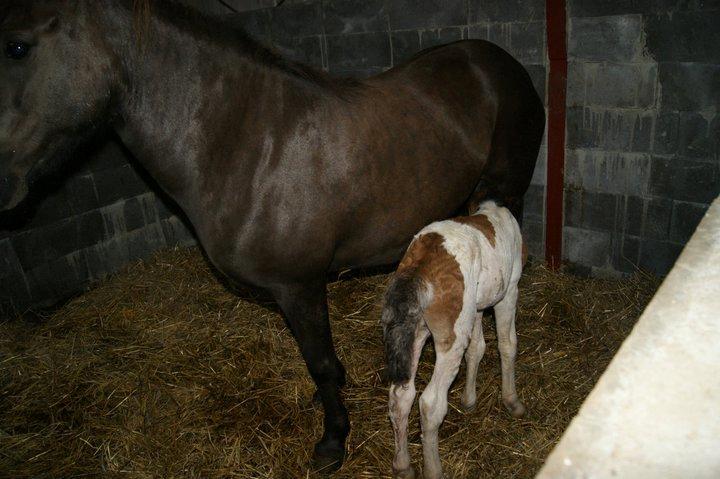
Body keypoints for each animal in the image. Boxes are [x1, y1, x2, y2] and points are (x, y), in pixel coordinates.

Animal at [380, 201, 524, 478]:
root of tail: (420, 264)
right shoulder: (509, 291)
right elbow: (507, 344)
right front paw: (511, 401)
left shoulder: (476, 307)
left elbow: (477, 348)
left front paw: (469, 400)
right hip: (451, 335)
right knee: (430, 404)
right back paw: (433, 470)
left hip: (417, 331)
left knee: (401, 396)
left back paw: (403, 466)